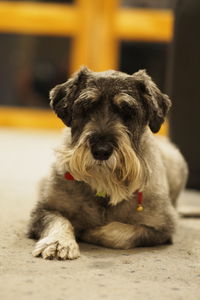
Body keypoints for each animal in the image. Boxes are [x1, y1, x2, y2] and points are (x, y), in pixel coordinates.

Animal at [27, 67, 188, 258]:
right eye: (86, 108)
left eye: (128, 112)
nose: (101, 151)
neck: (104, 188)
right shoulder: (44, 209)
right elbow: (59, 220)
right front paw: (59, 242)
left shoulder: (163, 227)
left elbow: (119, 232)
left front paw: (90, 232)